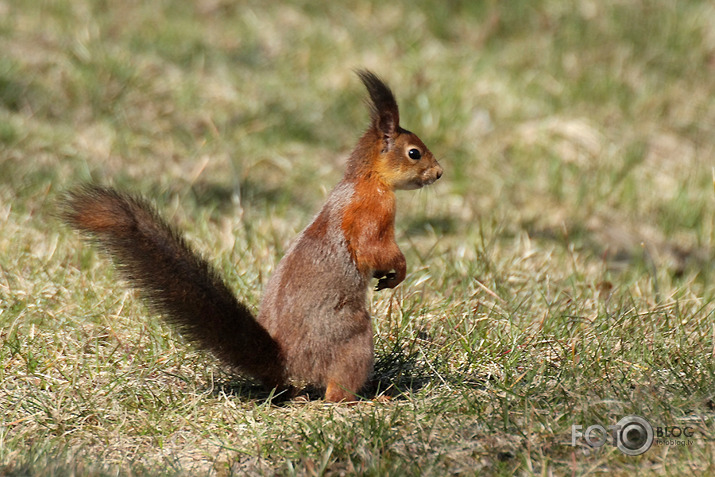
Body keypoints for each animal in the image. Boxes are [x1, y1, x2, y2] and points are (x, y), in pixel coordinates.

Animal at [61, 69, 442, 402]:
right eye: (414, 153)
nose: (439, 173)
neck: (366, 180)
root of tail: (285, 362)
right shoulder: (373, 212)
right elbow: (371, 249)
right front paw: (398, 271)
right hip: (352, 340)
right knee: (335, 394)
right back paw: (368, 401)